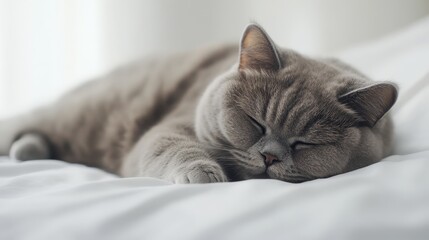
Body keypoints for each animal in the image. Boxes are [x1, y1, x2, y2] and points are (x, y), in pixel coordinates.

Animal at [0, 23, 398, 183]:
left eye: (306, 144)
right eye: (255, 123)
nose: (269, 157)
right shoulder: (170, 127)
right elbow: (174, 147)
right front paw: (204, 174)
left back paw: (30, 150)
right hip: (80, 111)